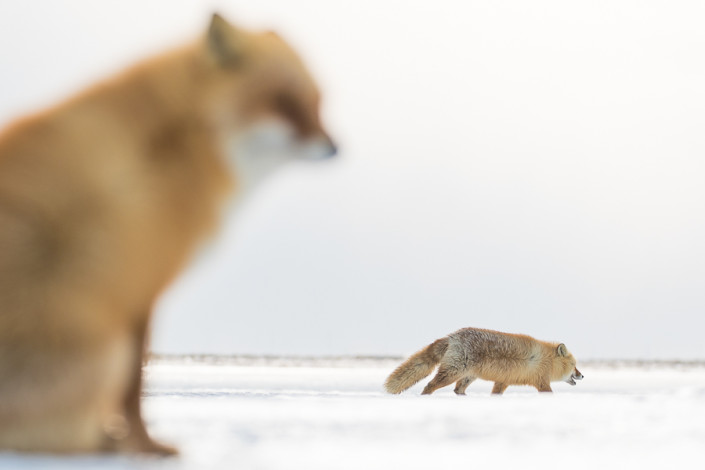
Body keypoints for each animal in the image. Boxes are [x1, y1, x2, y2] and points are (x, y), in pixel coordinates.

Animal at [0, 14, 335, 455]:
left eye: (317, 103)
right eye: (282, 102)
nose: (335, 147)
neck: (182, 144)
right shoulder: (143, 283)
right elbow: (134, 391)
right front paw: (148, 449)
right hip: (101, 350)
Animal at [385, 327, 583, 395]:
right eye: (574, 366)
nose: (582, 376)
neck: (547, 361)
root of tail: (452, 336)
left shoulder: (503, 381)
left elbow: (496, 394)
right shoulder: (542, 383)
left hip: (468, 376)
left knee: (458, 390)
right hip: (452, 373)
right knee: (429, 386)